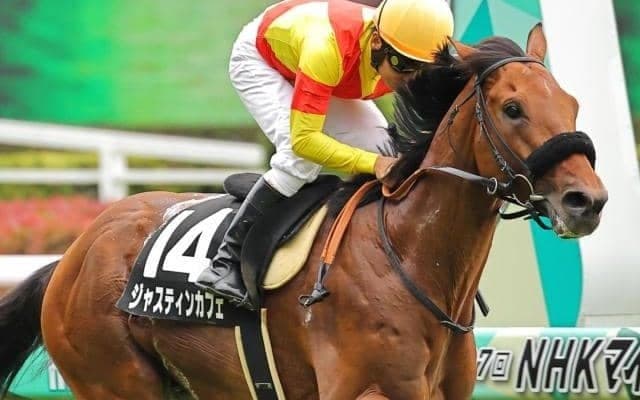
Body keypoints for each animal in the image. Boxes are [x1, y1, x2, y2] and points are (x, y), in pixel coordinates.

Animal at [0, 25, 607, 399]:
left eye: (573, 103)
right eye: (512, 108)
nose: (588, 201)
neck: (409, 255)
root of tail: (73, 254)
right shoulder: (365, 389)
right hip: (113, 378)